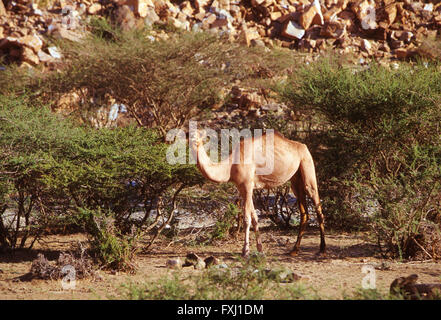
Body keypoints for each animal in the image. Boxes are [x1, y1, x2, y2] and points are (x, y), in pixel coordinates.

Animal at [187, 129, 324, 256]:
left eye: (198, 135)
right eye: (189, 134)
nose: (192, 139)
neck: (230, 167)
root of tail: (304, 146)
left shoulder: (247, 185)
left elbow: (246, 218)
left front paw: (245, 251)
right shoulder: (243, 188)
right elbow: (254, 217)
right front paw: (260, 249)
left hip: (307, 166)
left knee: (317, 206)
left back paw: (322, 250)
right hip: (296, 180)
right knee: (304, 213)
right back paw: (294, 250)